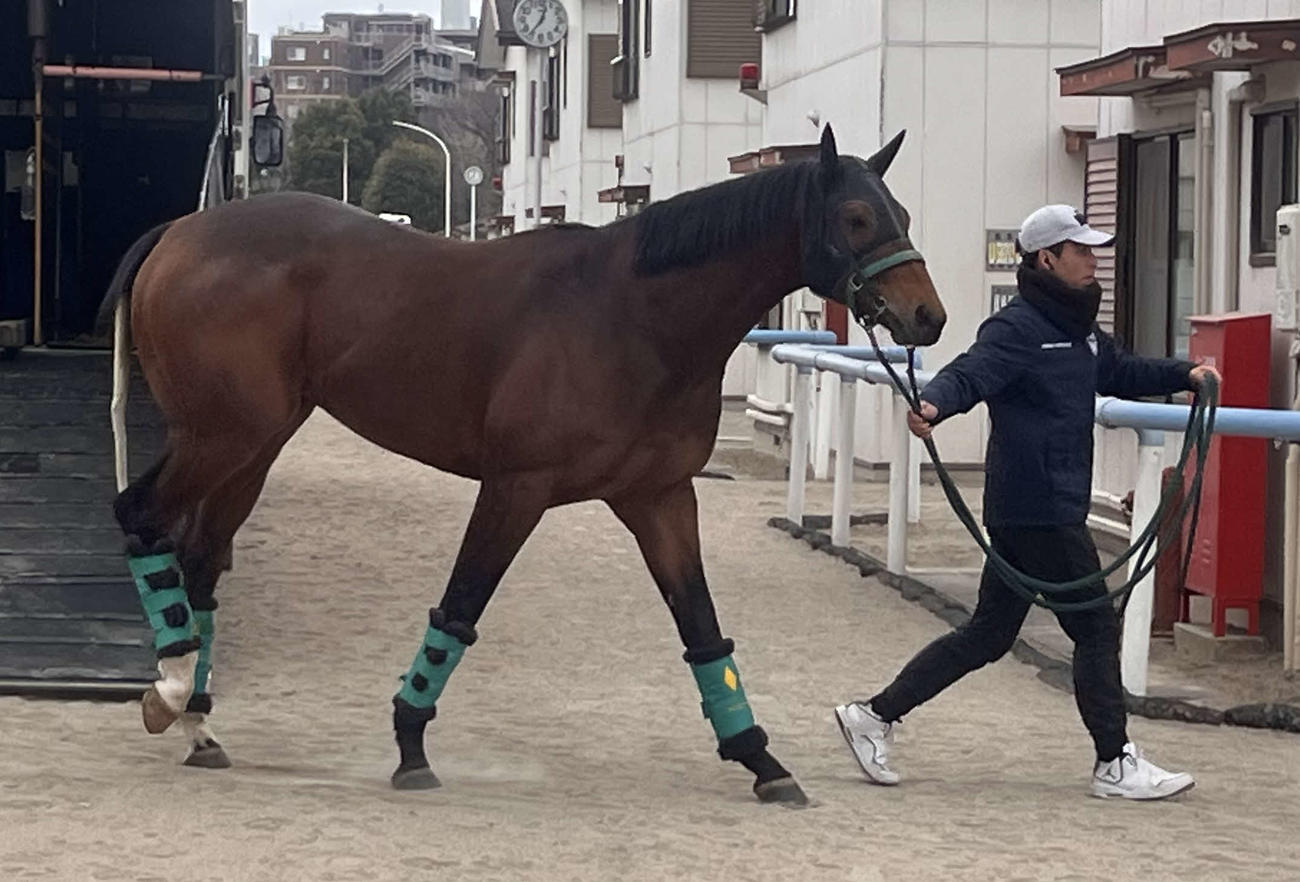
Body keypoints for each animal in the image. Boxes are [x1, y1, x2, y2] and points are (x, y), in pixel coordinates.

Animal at [100, 123, 945, 806]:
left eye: (903, 215)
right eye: (857, 218)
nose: (927, 316)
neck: (633, 316)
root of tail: (178, 232)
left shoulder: (660, 496)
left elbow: (703, 630)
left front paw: (759, 757)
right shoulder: (517, 488)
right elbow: (459, 610)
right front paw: (410, 741)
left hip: (256, 444)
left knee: (200, 561)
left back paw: (197, 721)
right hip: (221, 437)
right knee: (143, 519)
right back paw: (169, 687)